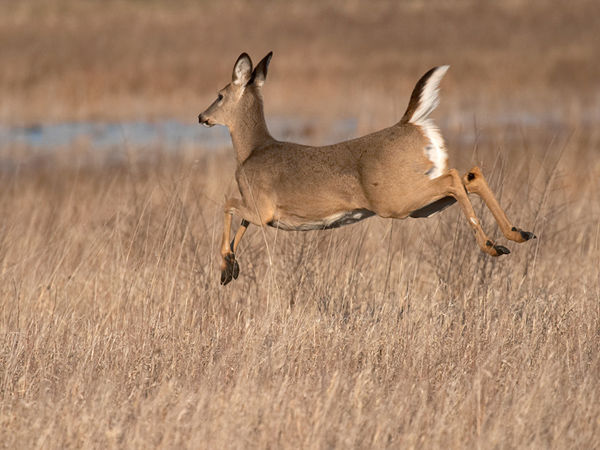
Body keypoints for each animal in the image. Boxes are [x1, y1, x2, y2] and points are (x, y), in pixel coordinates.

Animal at [198, 52, 536, 284]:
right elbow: (240, 224)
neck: (251, 151)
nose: (202, 116)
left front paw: (226, 265)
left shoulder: (263, 208)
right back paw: (518, 235)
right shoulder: (257, 209)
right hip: (420, 205)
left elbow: (227, 205)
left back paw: (492, 245)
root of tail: (410, 123)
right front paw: (230, 269)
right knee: (470, 175)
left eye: (219, 95)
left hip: (395, 200)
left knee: (454, 178)